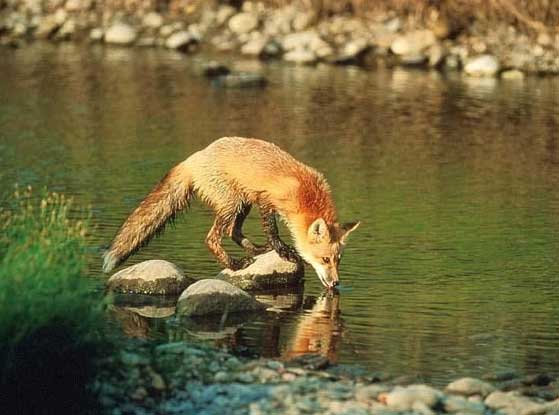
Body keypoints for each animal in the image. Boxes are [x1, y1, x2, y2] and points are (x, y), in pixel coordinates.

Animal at [103, 138, 360, 288]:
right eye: (325, 259)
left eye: (338, 260)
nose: (336, 284)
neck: (305, 193)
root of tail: (194, 157)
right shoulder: (266, 200)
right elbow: (272, 231)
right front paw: (283, 251)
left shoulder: (259, 199)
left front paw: (273, 249)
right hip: (231, 203)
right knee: (212, 238)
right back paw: (235, 264)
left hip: (242, 202)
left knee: (233, 232)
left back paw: (255, 251)